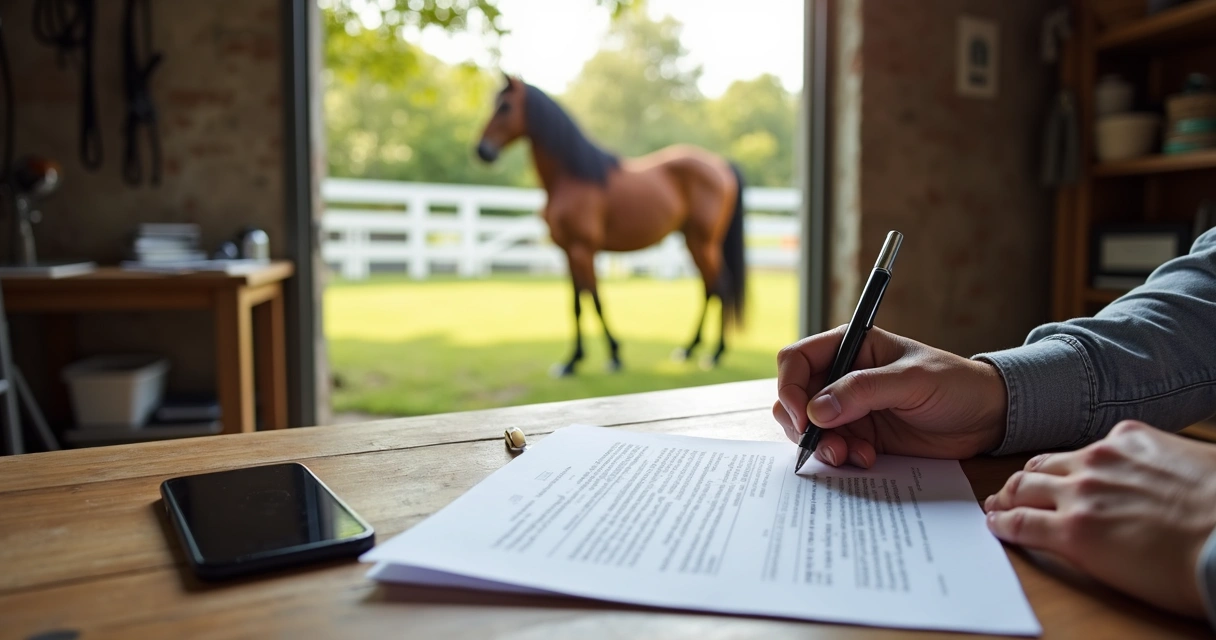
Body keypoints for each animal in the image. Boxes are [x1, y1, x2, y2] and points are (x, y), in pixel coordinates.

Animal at [476, 75, 746, 376]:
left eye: (505, 107)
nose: (482, 150)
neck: (572, 177)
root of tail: (721, 165)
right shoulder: (568, 251)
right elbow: (576, 303)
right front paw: (572, 360)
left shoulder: (583, 249)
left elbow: (594, 300)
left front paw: (612, 356)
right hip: (693, 242)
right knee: (709, 289)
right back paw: (688, 350)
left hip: (703, 242)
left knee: (721, 286)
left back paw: (715, 354)